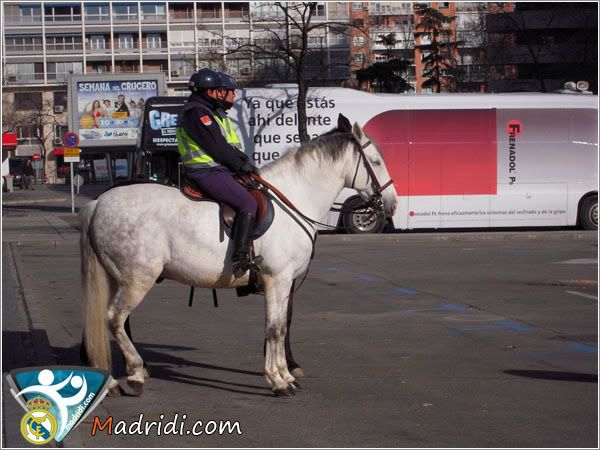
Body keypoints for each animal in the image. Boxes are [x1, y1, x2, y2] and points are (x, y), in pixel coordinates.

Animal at [81, 118, 398, 398]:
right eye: (375, 161)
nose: (392, 203)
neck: (294, 200)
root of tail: (99, 203)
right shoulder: (278, 280)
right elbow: (274, 329)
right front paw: (278, 381)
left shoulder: (283, 284)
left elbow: (280, 327)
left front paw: (285, 375)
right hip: (137, 279)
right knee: (115, 319)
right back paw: (133, 374)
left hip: (118, 279)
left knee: (114, 321)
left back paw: (116, 378)